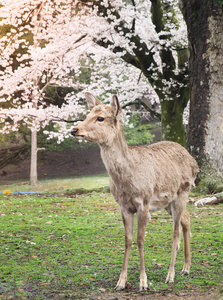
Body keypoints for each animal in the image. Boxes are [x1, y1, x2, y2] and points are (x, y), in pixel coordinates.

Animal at [71, 93, 199, 290]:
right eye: (87, 114)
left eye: (100, 118)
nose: (74, 129)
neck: (126, 180)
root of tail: (194, 162)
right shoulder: (123, 206)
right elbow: (127, 239)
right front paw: (121, 282)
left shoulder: (143, 202)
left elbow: (140, 239)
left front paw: (143, 282)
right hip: (167, 202)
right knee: (187, 218)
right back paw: (186, 268)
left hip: (183, 191)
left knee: (176, 230)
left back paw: (170, 275)